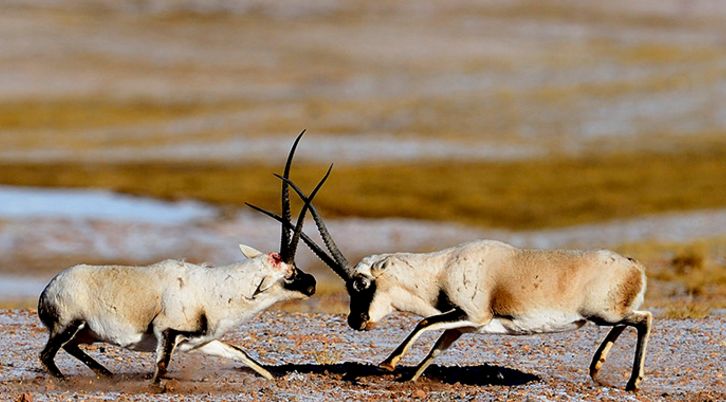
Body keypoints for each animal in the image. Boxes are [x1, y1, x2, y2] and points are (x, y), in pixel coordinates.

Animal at [37, 131, 328, 384]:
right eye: (289, 273)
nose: (312, 283)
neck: (215, 288)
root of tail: (49, 288)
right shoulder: (167, 332)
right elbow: (161, 367)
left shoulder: (200, 341)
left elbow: (238, 352)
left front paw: (271, 377)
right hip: (68, 325)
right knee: (46, 355)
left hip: (85, 332)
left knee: (71, 348)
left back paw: (108, 375)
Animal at [250, 176, 656, 390]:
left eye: (361, 284)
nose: (356, 322)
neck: (440, 269)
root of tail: (634, 265)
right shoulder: (463, 324)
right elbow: (437, 345)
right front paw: (410, 377)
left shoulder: (472, 315)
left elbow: (423, 322)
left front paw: (389, 364)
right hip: (606, 315)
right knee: (631, 322)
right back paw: (597, 367)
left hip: (603, 313)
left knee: (644, 319)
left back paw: (632, 382)